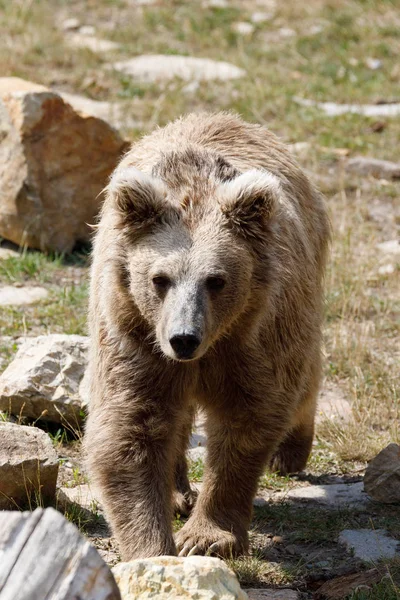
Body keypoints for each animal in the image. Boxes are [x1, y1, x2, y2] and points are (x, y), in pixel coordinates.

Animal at [83, 111, 328, 564]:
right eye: (159, 278)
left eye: (216, 280)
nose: (184, 338)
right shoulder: (134, 334)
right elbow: (130, 427)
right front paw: (153, 548)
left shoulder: (253, 339)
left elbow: (247, 419)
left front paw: (208, 536)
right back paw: (178, 492)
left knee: (304, 376)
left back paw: (290, 451)